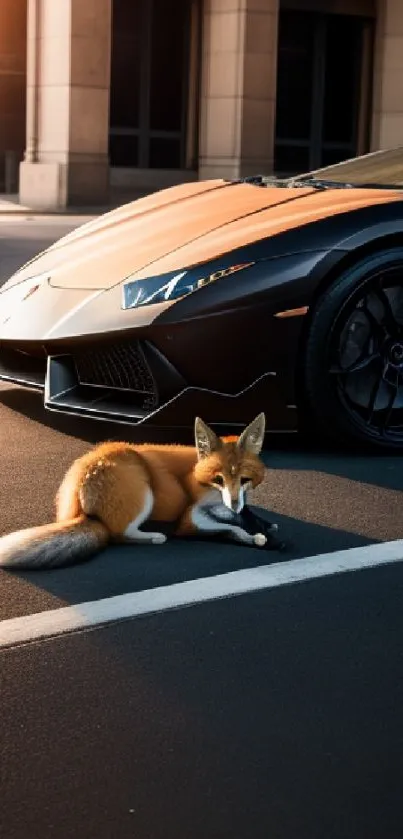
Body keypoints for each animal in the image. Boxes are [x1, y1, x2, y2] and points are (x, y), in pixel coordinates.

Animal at [0, 414, 278, 572]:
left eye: (244, 479)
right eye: (218, 479)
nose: (233, 504)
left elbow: (244, 516)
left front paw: (261, 525)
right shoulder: (189, 518)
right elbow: (231, 529)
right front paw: (253, 536)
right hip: (144, 493)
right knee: (118, 536)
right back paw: (154, 536)